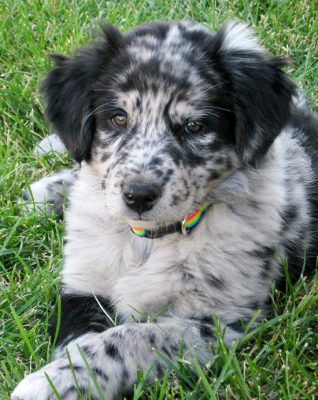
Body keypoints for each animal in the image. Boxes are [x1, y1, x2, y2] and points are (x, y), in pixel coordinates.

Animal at [12, 21, 318, 400]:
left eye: (195, 127)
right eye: (118, 118)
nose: (138, 195)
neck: (148, 241)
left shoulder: (221, 321)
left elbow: (134, 338)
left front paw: (52, 381)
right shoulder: (84, 284)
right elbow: (78, 340)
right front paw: (63, 374)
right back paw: (43, 188)